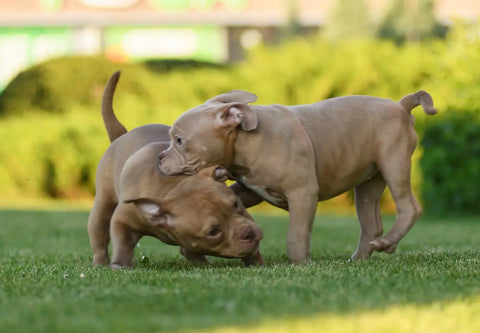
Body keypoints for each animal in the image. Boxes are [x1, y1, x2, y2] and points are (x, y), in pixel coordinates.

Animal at [88, 72, 264, 268]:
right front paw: (120, 263)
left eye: (236, 204)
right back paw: (100, 262)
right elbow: (121, 241)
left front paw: (255, 261)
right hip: (102, 205)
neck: (173, 187)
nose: (248, 232)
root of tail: (123, 135)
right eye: (213, 232)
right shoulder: (123, 218)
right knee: (99, 233)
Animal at [159, 89, 436, 262]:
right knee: (371, 224)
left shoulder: (302, 192)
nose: (160, 157)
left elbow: (297, 233)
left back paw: (388, 243)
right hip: (369, 183)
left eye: (179, 140)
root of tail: (401, 105)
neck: (247, 139)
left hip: (393, 162)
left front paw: (300, 264)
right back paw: (361, 257)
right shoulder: (251, 189)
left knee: (409, 207)